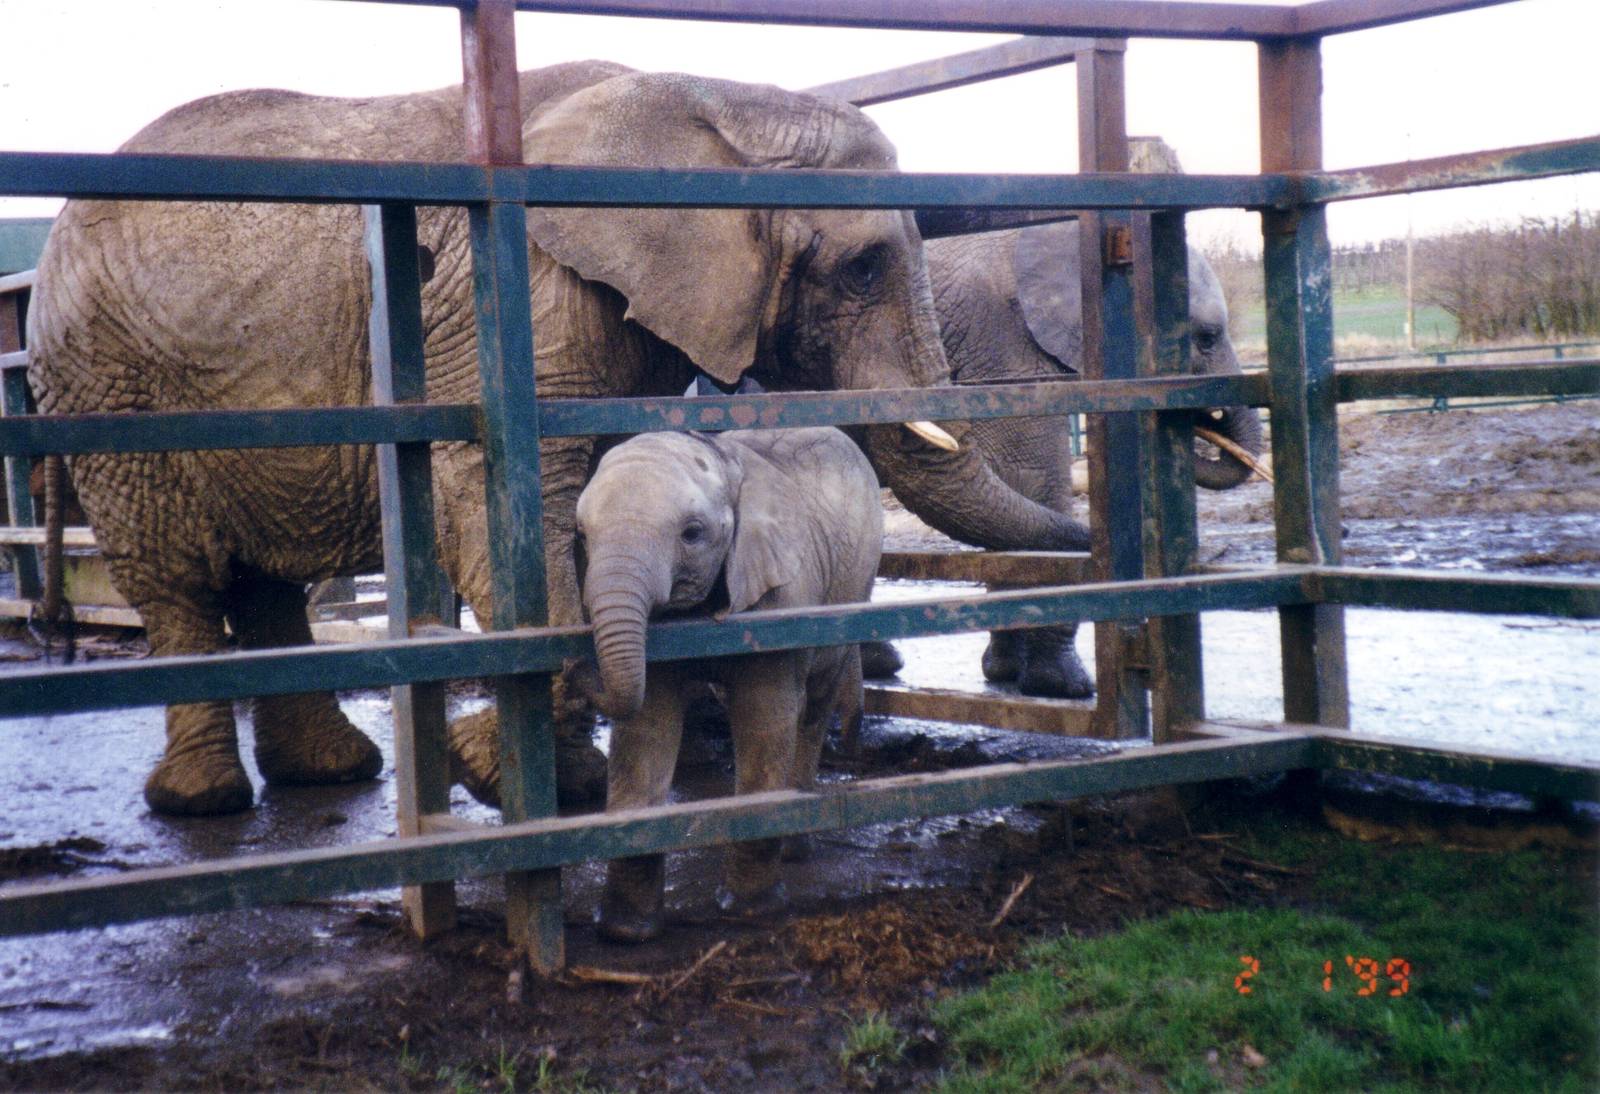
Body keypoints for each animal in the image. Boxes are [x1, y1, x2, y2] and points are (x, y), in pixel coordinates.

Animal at [27, 62, 1091, 816]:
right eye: (866, 268)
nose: (1092, 534)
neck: (714, 105)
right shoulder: (507, 300)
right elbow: (517, 499)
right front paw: (511, 779)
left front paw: (551, 777)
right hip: (108, 387)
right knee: (179, 581)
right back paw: (206, 803)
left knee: (264, 582)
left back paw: (330, 777)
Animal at [576, 427, 880, 942]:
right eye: (581, 534)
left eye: (693, 533)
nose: (573, 670)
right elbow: (647, 732)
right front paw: (625, 930)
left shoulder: (783, 592)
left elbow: (764, 715)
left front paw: (749, 909)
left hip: (851, 587)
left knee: (814, 705)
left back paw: (794, 847)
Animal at [860, 218, 1264, 698]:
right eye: (1206, 338)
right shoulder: (1002, 351)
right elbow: (1031, 479)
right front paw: (1065, 687)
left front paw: (1006, 675)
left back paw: (879, 664)